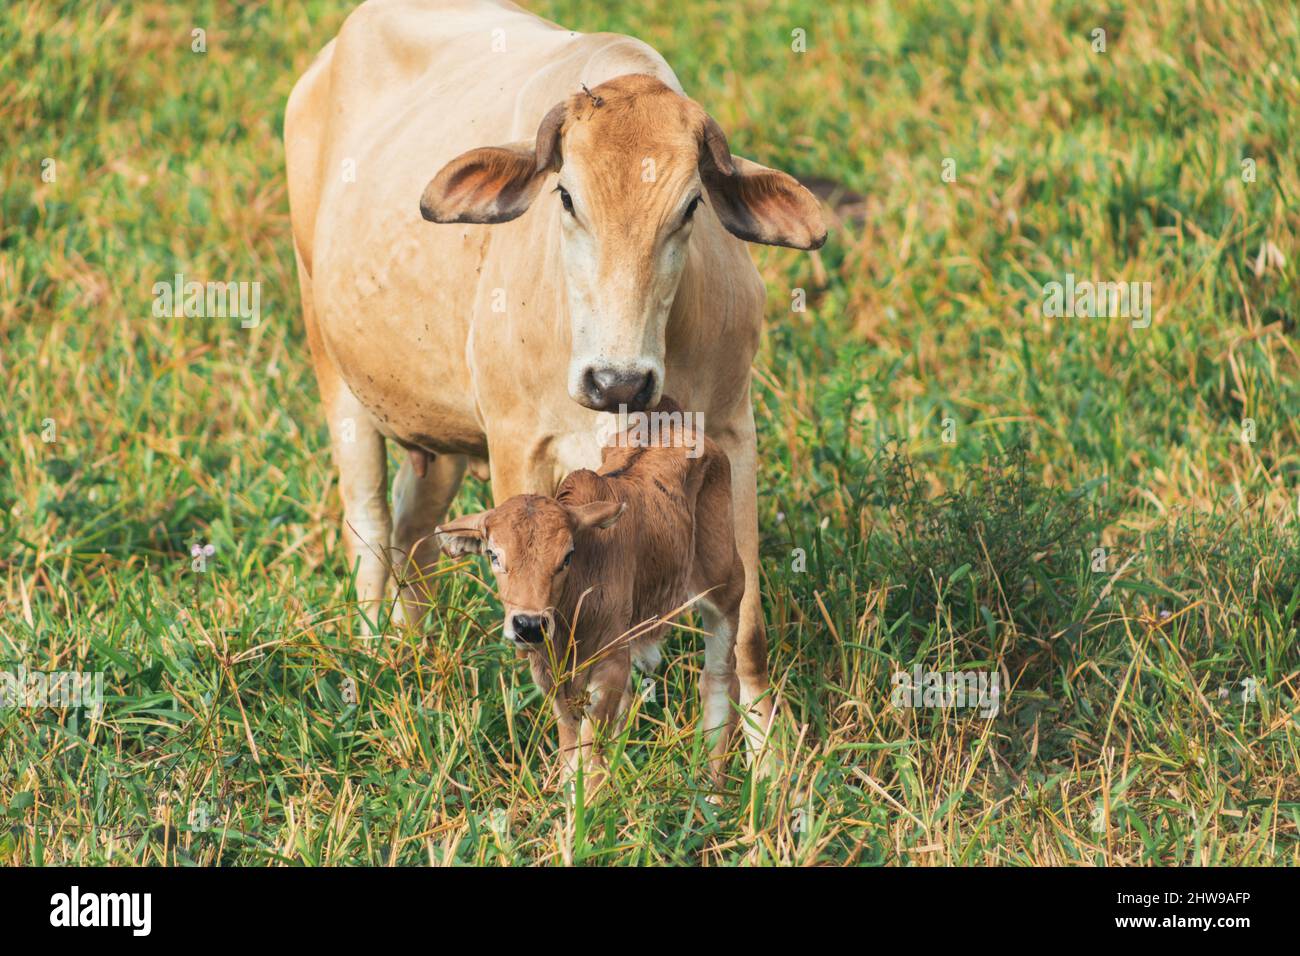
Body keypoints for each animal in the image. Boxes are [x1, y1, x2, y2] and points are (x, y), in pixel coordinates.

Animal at [434, 400, 743, 790]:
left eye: (567, 556)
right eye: (493, 555)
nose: (529, 625)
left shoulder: (611, 662)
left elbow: (590, 758)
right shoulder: (551, 673)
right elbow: (572, 755)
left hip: (726, 583)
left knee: (720, 679)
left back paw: (714, 790)